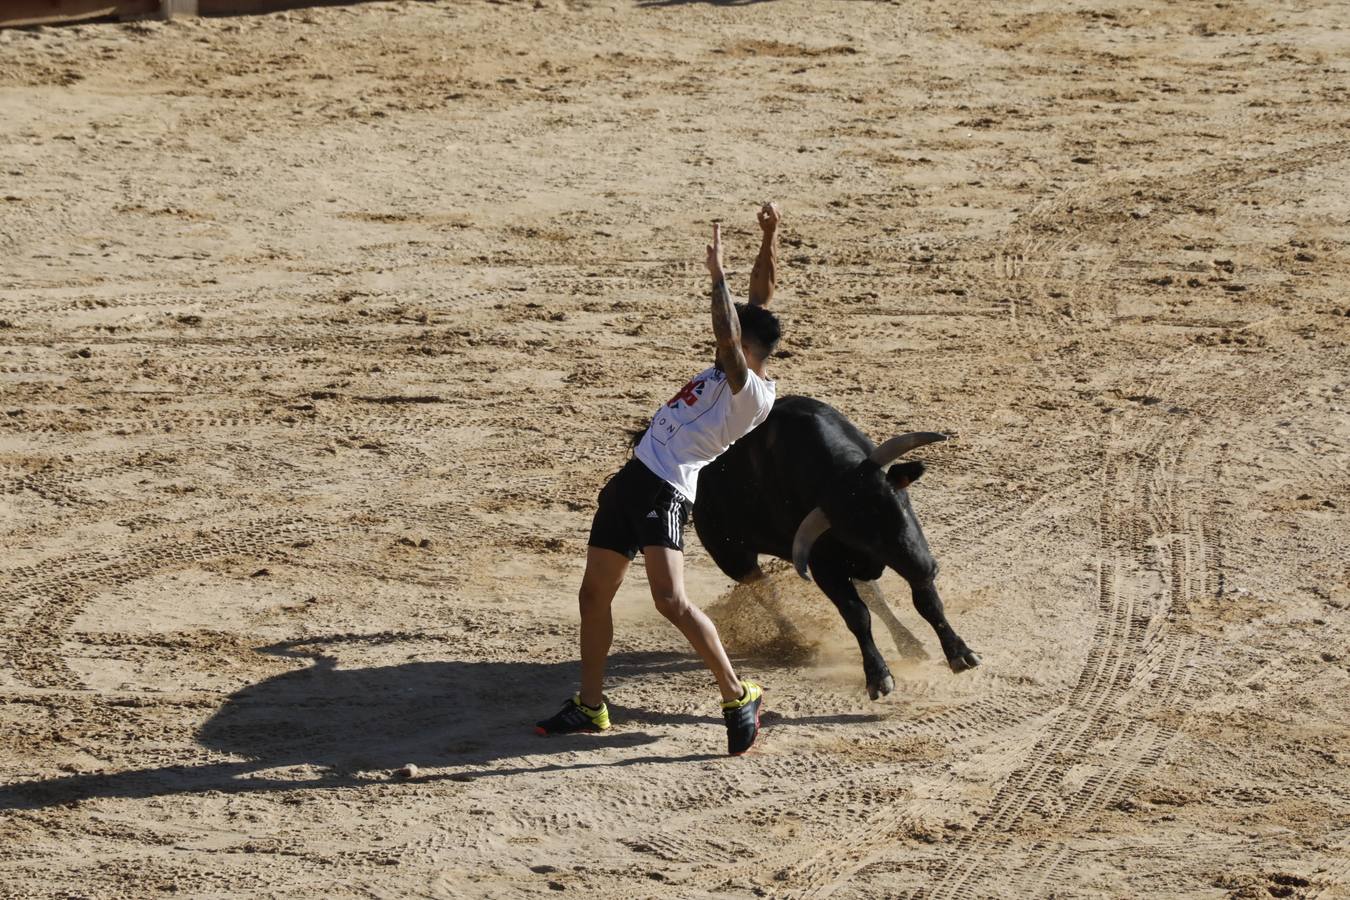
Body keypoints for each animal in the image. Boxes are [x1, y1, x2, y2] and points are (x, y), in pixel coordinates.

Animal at [696, 394, 982, 696]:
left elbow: (927, 603)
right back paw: (798, 640)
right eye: (861, 535)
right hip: (733, 559)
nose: (925, 568)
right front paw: (878, 676)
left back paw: (910, 645)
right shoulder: (824, 566)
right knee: (767, 594)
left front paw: (960, 653)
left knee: (875, 597)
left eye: (901, 503)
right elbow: (857, 615)